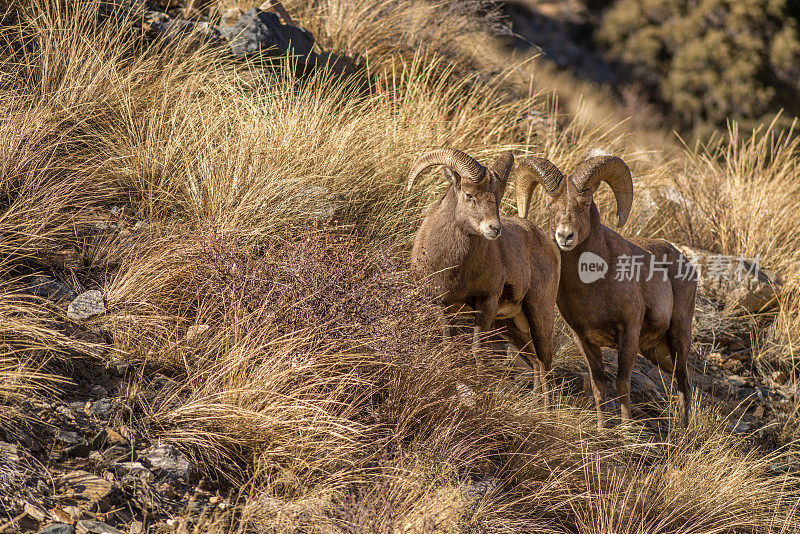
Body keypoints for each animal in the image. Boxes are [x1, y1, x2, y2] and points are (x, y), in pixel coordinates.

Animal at [410, 149, 560, 400]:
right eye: (469, 195)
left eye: (497, 198)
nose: (494, 229)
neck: (455, 269)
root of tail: (550, 244)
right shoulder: (439, 303)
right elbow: (447, 343)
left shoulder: (486, 303)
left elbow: (477, 350)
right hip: (511, 324)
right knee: (536, 362)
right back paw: (535, 404)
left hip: (539, 313)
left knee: (545, 363)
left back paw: (546, 407)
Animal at [520, 154, 692, 428]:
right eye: (549, 205)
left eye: (585, 203)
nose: (565, 236)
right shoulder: (583, 338)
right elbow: (598, 385)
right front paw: (602, 429)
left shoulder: (629, 330)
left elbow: (622, 383)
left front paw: (626, 430)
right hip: (655, 350)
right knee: (678, 378)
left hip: (679, 335)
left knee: (684, 382)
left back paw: (683, 432)